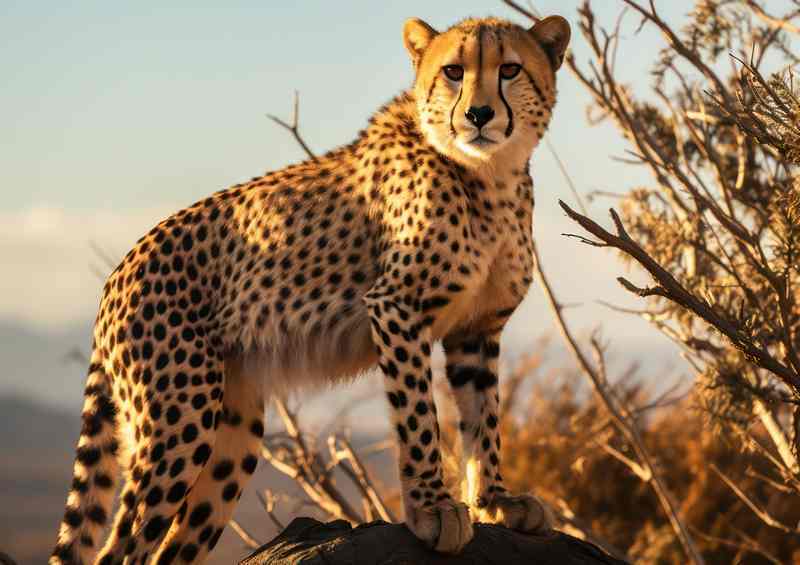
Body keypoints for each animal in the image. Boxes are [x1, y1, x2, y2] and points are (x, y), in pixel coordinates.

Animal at [51, 13, 571, 564]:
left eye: (510, 69)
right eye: (453, 71)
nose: (478, 114)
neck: (490, 175)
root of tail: (116, 275)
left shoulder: (476, 330)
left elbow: (483, 420)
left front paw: (495, 501)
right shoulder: (395, 308)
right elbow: (419, 418)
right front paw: (432, 509)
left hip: (232, 433)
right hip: (178, 420)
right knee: (120, 547)